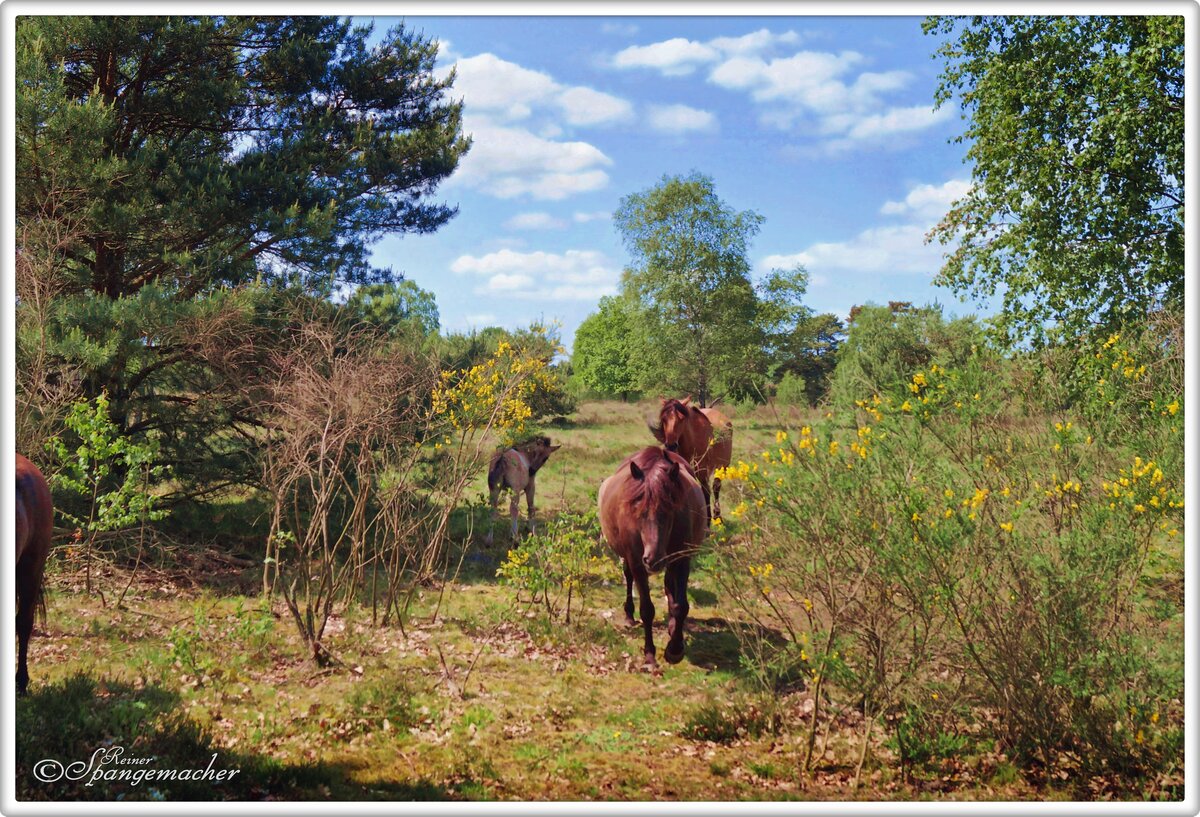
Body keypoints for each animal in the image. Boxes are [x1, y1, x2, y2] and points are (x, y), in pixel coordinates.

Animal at [597, 446, 705, 667]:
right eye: (638, 511)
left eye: (670, 510)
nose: (652, 559)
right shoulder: (637, 563)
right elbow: (647, 609)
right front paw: (649, 654)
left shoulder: (681, 560)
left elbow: (681, 606)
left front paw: (675, 649)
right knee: (629, 577)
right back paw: (629, 614)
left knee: (669, 586)